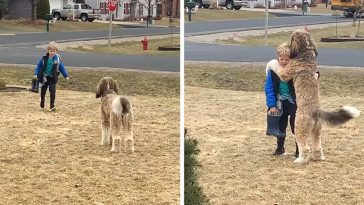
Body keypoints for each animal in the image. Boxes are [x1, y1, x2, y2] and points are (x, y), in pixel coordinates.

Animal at [278, 28, 360, 163]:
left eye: (292, 38)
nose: (288, 45)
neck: (306, 49)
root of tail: (316, 111)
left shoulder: (287, 72)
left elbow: (279, 69)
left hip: (300, 127)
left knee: (305, 147)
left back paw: (300, 160)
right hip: (316, 130)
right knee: (317, 146)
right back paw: (318, 157)